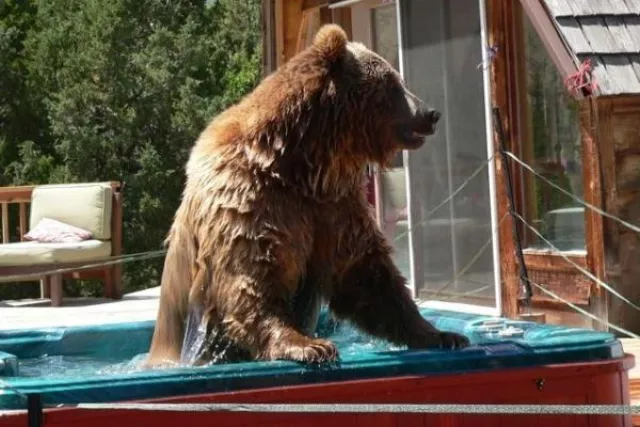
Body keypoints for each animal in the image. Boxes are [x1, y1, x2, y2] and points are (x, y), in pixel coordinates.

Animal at [149, 24, 470, 368]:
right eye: (393, 83)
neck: (299, 165)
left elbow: (366, 274)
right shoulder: (246, 199)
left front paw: (442, 334)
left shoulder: (334, 207)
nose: (430, 113)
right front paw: (309, 345)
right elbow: (249, 278)